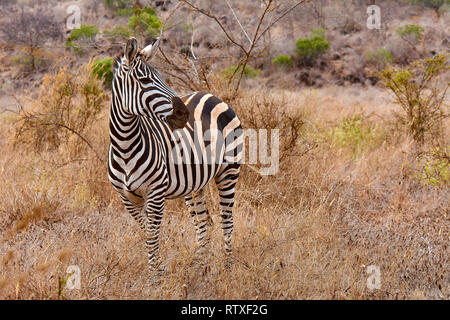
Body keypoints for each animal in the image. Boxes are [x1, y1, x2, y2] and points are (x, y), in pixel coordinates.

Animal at [108, 37, 243, 272]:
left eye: (162, 77)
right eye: (144, 80)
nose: (184, 113)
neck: (124, 146)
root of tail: (210, 95)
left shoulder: (155, 193)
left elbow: (152, 236)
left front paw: (156, 276)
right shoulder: (127, 198)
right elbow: (147, 234)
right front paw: (156, 271)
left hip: (229, 172)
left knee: (227, 221)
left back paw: (228, 269)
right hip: (195, 183)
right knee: (203, 223)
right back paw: (200, 268)